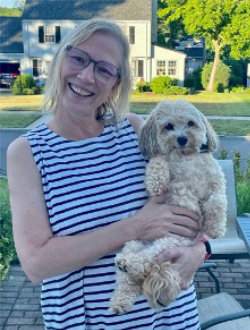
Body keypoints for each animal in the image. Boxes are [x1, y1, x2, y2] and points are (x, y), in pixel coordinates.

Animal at [109, 100, 227, 314]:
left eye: (190, 123)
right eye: (168, 126)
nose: (181, 138)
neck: (185, 158)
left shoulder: (216, 179)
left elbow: (218, 200)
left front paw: (216, 228)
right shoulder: (163, 161)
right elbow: (158, 161)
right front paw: (156, 181)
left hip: (168, 243)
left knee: (141, 270)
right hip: (140, 243)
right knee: (138, 270)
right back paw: (123, 281)